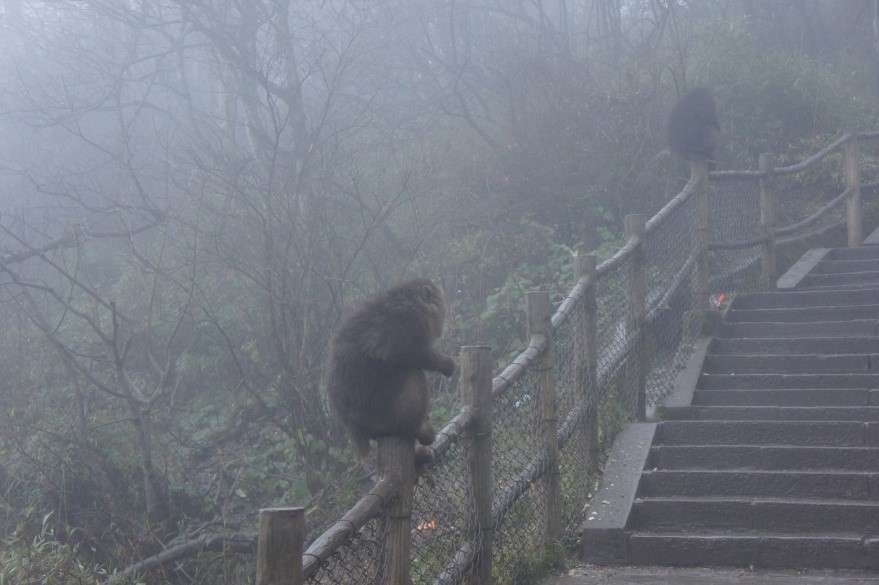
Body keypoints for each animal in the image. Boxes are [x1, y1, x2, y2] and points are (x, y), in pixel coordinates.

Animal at [326, 278, 458, 466]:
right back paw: (417, 430)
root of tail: (355, 430)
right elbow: (401, 352)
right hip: (386, 420)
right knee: (413, 373)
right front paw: (445, 364)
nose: (441, 326)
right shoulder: (407, 319)